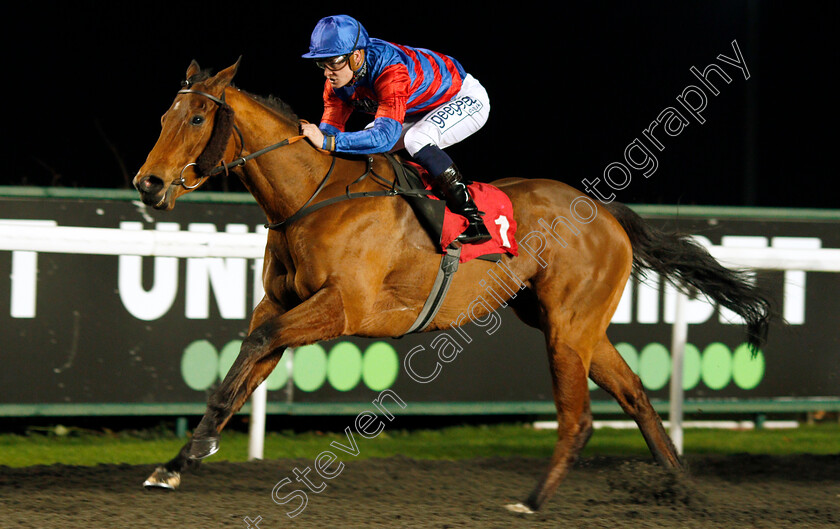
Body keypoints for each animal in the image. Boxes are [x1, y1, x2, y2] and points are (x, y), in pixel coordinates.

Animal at [135, 58, 772, 512]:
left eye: (197, 119)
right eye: (164, 118)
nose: (148, 184)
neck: (313, 197)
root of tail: (608, 214)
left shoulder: (342, 308)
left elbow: (258, 346)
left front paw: (194, 451)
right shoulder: (282, 303)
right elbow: (240, 373)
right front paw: (177, 463)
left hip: (568, 328)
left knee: (579, 418)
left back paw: (533, 500)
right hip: (573, 324)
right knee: (636, 393)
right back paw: (683, 490)